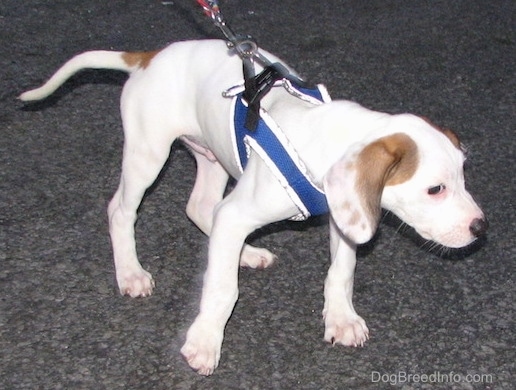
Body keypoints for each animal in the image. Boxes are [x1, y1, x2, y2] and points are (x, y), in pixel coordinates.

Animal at [20, 39, 488, 374]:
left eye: (464, 176)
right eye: (435, 189)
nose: (480, 228)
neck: (325, 135)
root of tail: (150, 57)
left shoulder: (347, 211)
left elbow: (341, 271)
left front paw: (340, 318)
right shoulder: (244, 212)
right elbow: (222, 288)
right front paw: (204, 341)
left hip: (210, 157)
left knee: (201, 208)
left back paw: (244, 253)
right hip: (147, 155)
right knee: (122, 211)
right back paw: (131, 273)